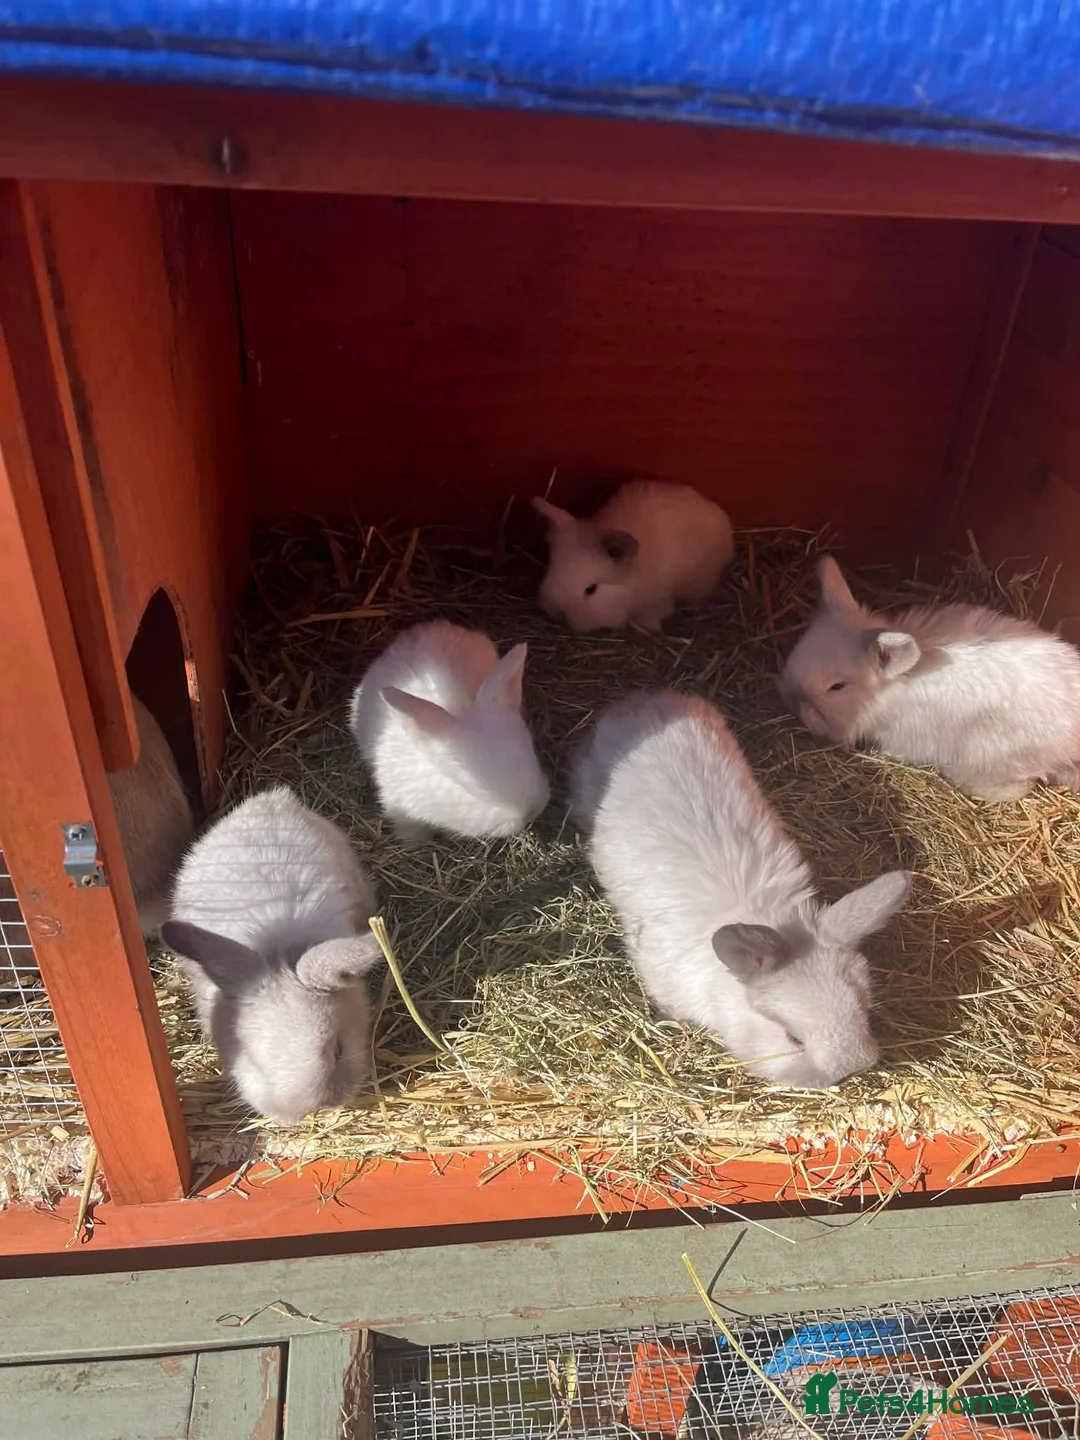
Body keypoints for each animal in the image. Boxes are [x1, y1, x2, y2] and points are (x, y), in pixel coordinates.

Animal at [531, 479, 733, 633]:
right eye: (551, 569)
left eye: (591, 590)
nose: (561, 614)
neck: (630, 587)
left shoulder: (657, 602)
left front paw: (649, 628)